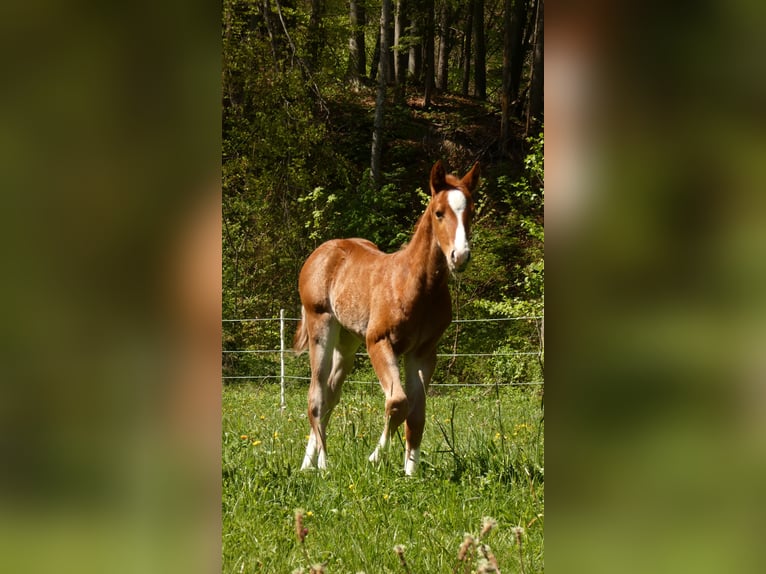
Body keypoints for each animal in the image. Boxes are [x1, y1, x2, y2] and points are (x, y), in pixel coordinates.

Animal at [293, 160, 480, 475]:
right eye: (439, 213)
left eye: (471, 212)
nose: (460, 256)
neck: (417, 285)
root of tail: (322, 251)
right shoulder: (378, 342)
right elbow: (398, 402)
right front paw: (374, 458)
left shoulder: (423, 353)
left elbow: (416, 414)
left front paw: (411, 473)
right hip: (321, 324)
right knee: (316, 396)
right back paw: (322, 463)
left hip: (348, 340)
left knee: (330, 393)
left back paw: (309, 462)